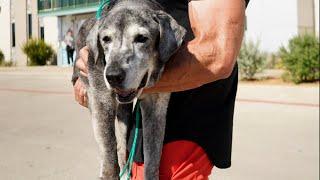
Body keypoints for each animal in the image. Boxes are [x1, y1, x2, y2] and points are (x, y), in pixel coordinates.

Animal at [73, 0, 185, 179]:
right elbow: (109, 150)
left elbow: (153, 157)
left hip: (124, 114)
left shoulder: (156, 106)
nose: (113, 76)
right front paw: (109, 173)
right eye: (105, 39)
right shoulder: (101, 100)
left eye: (141, 38)